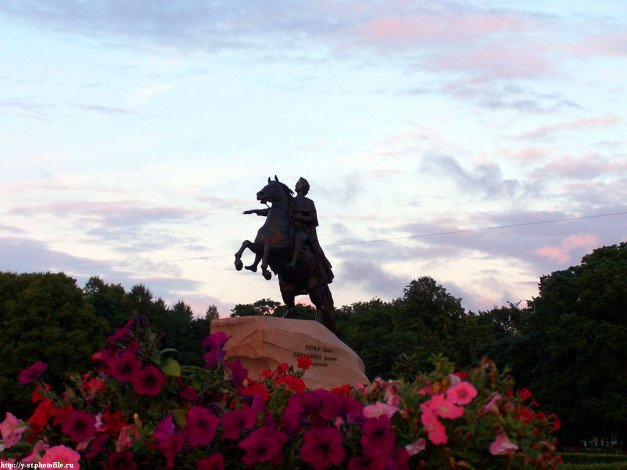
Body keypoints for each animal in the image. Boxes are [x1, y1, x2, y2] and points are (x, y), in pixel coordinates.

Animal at [236, 174, 340, 336]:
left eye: (273, 187)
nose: (259, 194)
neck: (274, 226)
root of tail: (324, 281)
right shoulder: (257, 246)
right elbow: (246, 243)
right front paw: (239, 264)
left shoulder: (282, 250)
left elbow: (267, 248)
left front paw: (265, 271)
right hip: (286, 289)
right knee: (292, 310)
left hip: (314, 288)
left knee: (320, 307)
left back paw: (316, 325)